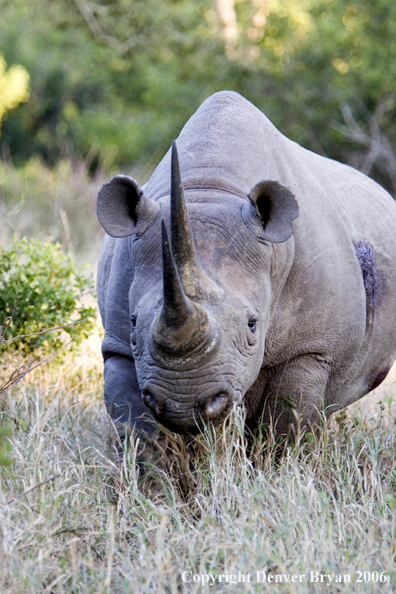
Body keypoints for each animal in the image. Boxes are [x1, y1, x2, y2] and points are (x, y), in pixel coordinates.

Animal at [95, 89, 396, 440]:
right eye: (132, 321)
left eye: (253, 324)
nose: (185, 404)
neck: (210, 186)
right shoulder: (119, 347)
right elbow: (139, 429)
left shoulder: (312, 349)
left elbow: (284, 423)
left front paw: (279, 454)